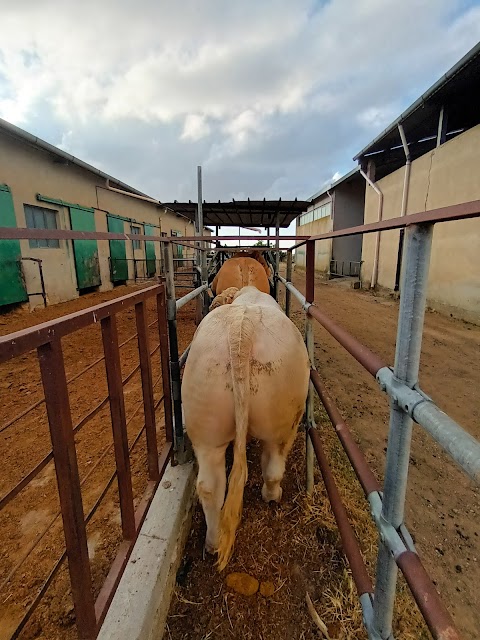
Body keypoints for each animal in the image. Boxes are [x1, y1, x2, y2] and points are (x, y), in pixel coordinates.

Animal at [182, 284, 310, 568]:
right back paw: (272, 495)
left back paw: (213, 542)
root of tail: (242, 327)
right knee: (273, 466)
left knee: (210, 487)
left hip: (206, 425)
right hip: (285, 424)